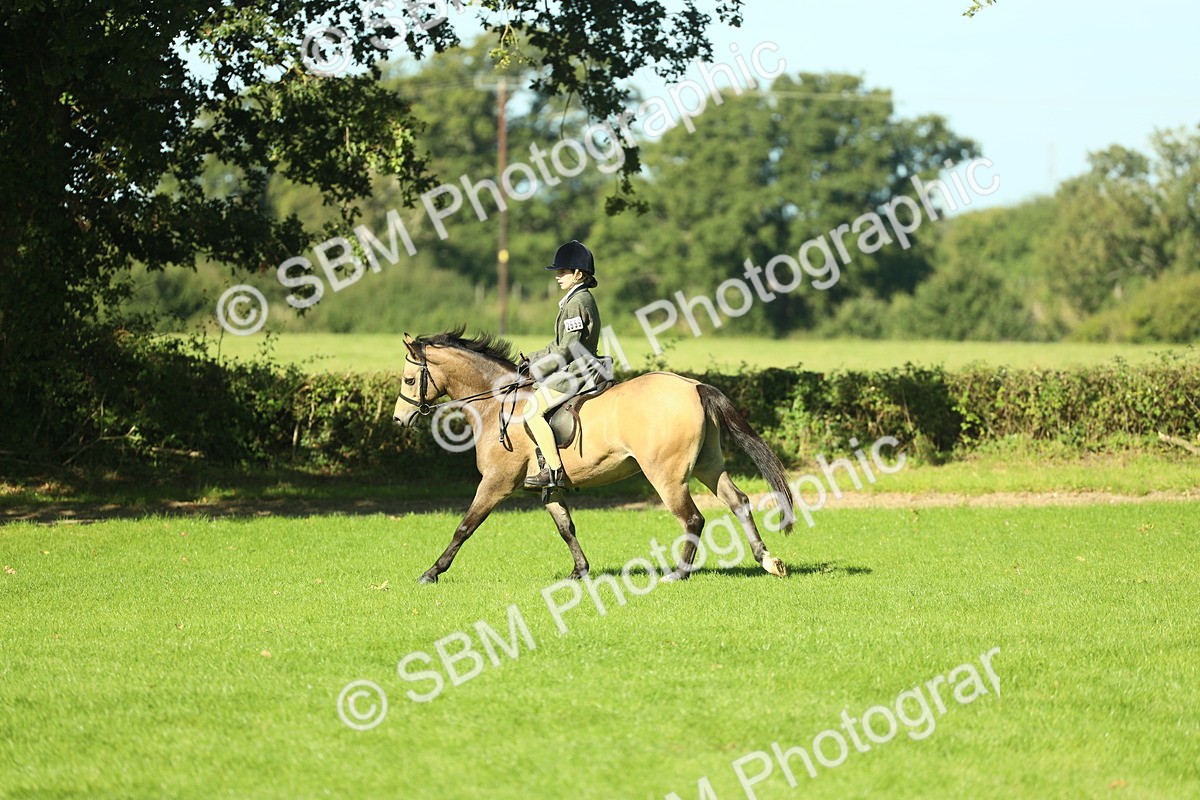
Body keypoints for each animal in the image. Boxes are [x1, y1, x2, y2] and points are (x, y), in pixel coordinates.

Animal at [393, 328, 796, 584]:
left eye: (410, 380)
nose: (399, 419)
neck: (497, 403)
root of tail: (694, 385)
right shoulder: (548, 487)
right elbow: (566, 527)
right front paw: (580, 571)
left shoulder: (495, 483)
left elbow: (464, 526)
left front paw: (432, 572)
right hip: (708, 466)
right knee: (738, 501)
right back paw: (767, 560)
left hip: (666, 475)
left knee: (693, 519)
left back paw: (678, 573)